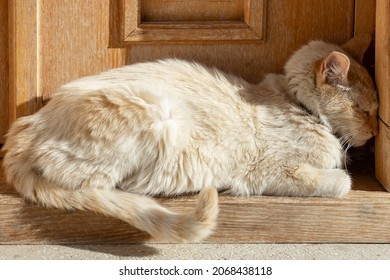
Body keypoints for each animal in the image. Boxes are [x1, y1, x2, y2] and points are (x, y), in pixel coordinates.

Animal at [0, 34, 378, 241]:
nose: (376, 133)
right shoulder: (269, 173)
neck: (297, 105)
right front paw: (341, 175)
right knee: (98, 186)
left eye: (376, 109)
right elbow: (341, 182)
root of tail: (28, 124)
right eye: (364, 110)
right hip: (156, 114)